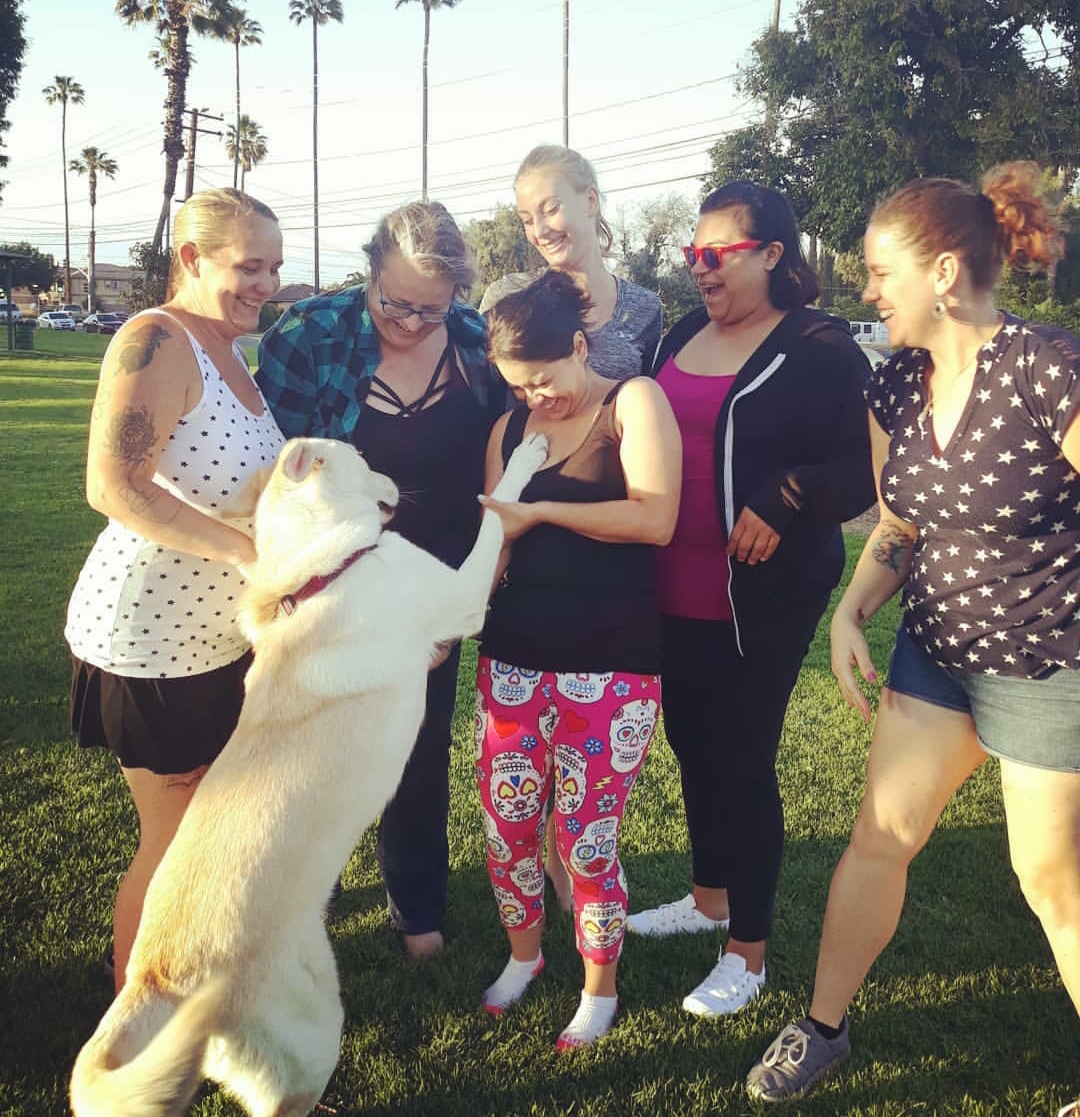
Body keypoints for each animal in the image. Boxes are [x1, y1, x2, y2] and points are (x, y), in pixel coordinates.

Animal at [70, 430, 549, 1117]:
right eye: (362, 458)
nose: (395, 478)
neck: (324, 571)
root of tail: (158, 978)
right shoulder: (459, 597)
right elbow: (493, 520)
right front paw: (524, 459)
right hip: (312, 1033)